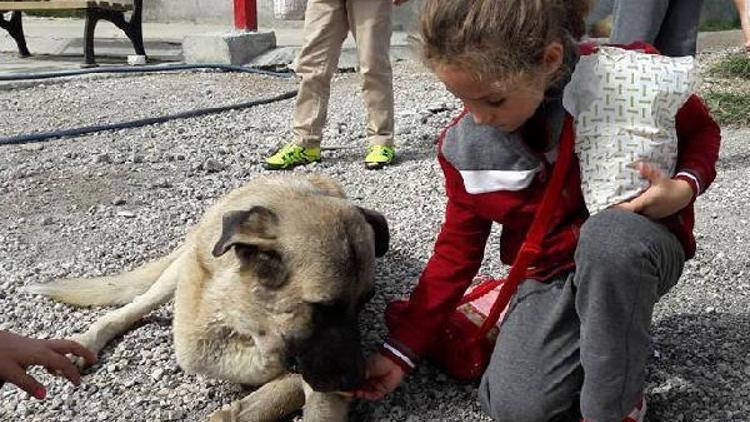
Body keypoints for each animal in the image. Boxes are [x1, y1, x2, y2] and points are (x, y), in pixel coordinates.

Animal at [26, 173, 390, 420]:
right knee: (122, 312)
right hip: (174, 275)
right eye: (322, 308)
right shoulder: (198, 343)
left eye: (365, 303)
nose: (358, 379)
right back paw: (84, 343)